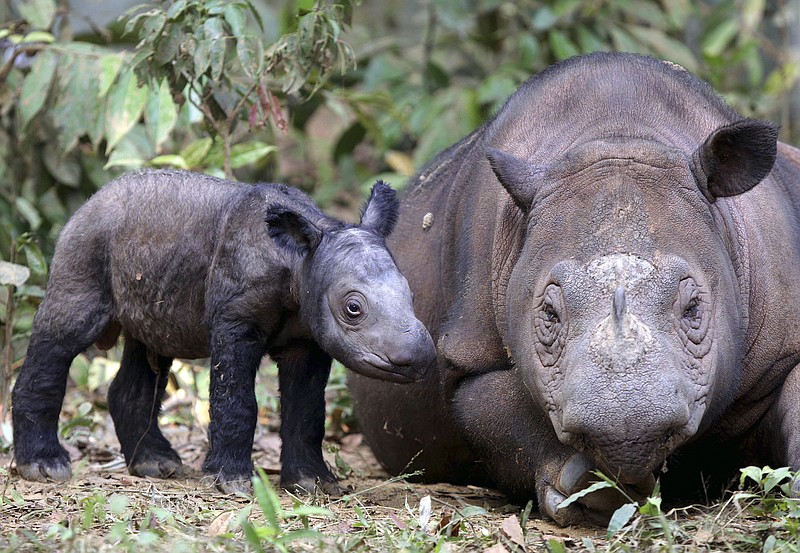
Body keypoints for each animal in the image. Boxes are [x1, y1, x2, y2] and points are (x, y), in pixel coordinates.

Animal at [10, 169, 438, 492]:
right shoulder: (236, 320)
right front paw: (231, 482)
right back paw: (45, 467)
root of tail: (89, 201)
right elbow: (236, 399)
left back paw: (155, 464)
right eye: (353, 308)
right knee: (65, 333)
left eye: (411, 294)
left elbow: (308, 409)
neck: (301, 260)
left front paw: (313, 484)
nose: (419, 357)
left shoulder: (308, 336)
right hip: (86, 243)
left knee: (149, 350)